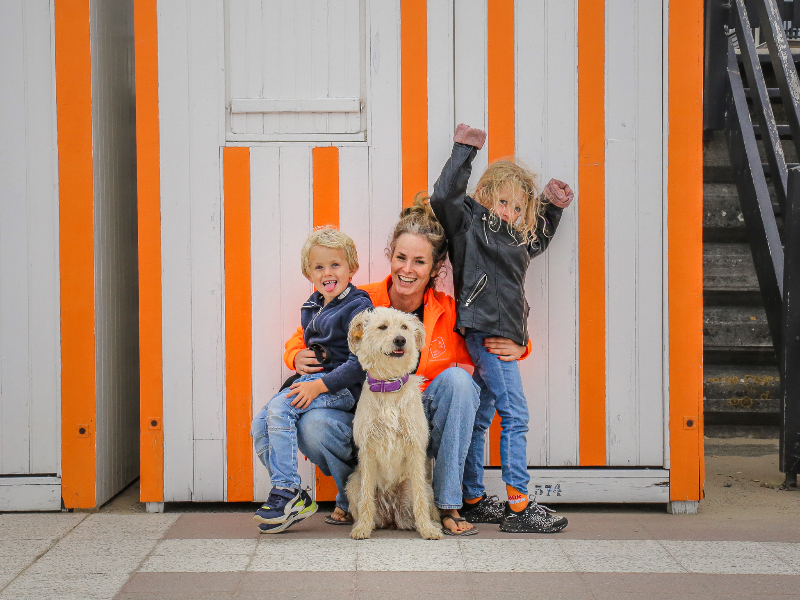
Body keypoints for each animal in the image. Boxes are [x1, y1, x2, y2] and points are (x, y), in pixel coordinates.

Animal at [346, 308, 440, 540]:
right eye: (382, 327)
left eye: (405, 327)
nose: (400, 340)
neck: (389, 387)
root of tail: (391, 515)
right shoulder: (367, 451)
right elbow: (366, 498)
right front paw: (362, 528)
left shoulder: (415, 449)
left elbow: (420, 500)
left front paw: (427, 529)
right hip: (353, 482)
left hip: (418, 488)